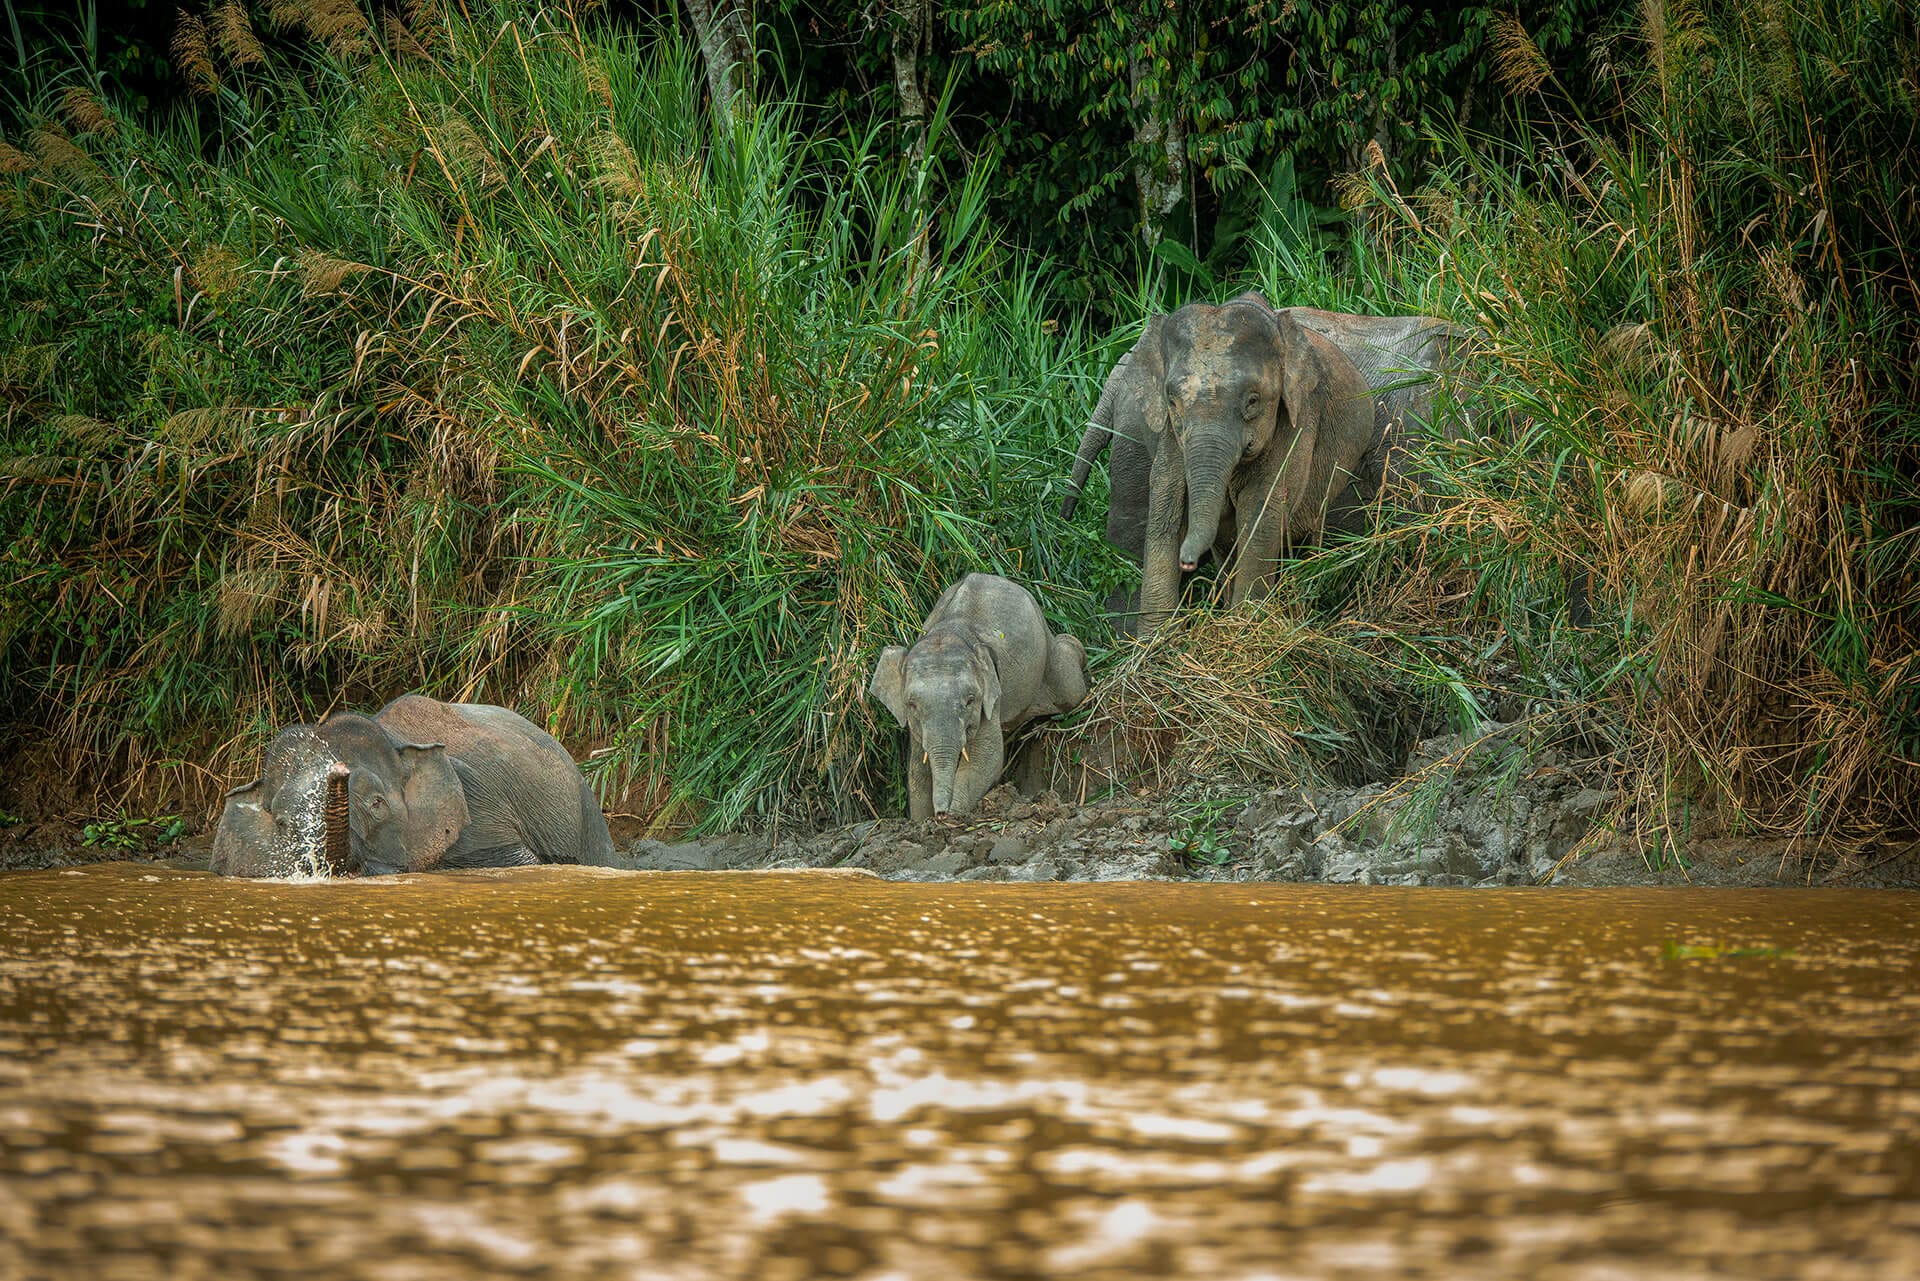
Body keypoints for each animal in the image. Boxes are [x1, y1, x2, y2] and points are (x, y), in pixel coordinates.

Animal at [868, 573, 1089, 820]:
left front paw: (953, 815)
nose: (941, 814)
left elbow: (987, 756)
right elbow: (917, 769)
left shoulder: (991, 692)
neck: (950, 633)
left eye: (970, 700)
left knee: (1070, 688)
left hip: (1047, 657)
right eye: (912, 704)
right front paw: (923, 820)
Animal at [1060, 294, 1458, 629]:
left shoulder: (1303, 420)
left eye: (1253, 401)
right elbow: (1166, 507)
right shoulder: (1169, 435)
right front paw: (1154, 647)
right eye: (1172, 401)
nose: (1187, 561)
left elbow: (1262, 513)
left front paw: (1242, 628)